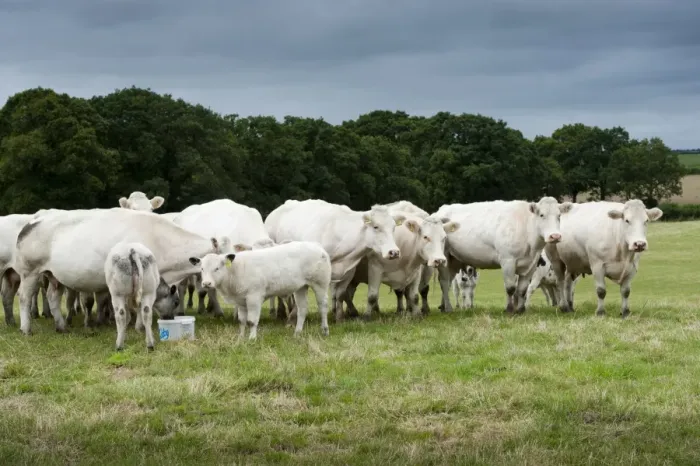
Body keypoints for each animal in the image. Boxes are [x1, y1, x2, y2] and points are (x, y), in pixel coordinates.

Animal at [13, 207, 230, 335]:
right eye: (221, 260)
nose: (169, 318)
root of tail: (33, 222)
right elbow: (140, 305)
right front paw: (139, 326)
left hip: (53, 275)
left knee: (52, 296)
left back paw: (61, 326)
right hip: (30, 271)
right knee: (24, 297)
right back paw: (26, 329)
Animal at [190, 241, 332, 340]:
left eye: (217, 268)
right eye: (202, 268)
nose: (206, 283)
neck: (236, 270)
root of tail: (317, 246)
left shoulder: (254, 297)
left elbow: (251, 321)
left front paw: (252, 339)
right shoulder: (241, 300)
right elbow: (242, 321)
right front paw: (240, 338)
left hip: (320, 284)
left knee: (323, 306)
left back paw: (325, 330)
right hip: (301, 287)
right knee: (302, 309)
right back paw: (297, 333)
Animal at [264, 199, 404, 322]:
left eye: (393, 228)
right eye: (376, 227)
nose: (394, 252)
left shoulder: (349, 271)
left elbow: (340, 295)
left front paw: (339, 318)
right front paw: (293, 318)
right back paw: (281, 313)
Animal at [434, 197, 573, 314]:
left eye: (559, 216)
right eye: (542, 215)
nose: (555, 236)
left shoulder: (531, 265)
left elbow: (522, 289)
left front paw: (521, 310)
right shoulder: (508, 261)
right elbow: (511, 288)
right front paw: (509, 309)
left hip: (454, 260)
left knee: (448, 281)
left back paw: (443, 306)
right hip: (444, 258)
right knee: (444, 282)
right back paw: (447, 308)